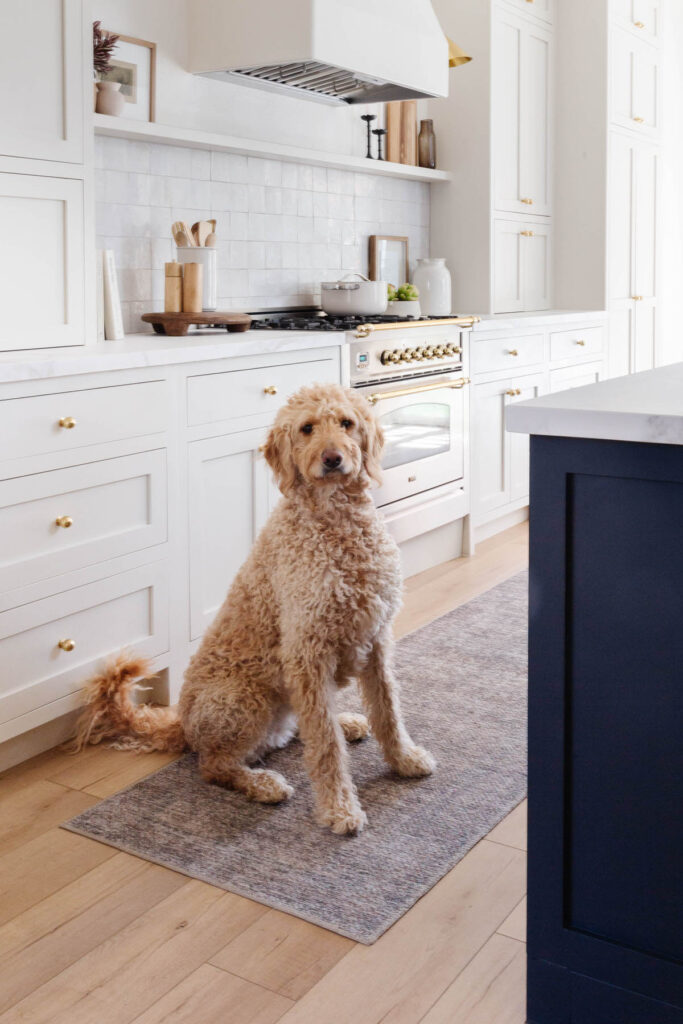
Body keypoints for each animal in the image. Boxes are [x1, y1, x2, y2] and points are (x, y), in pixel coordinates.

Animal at [74, 382, 436, 831]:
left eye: (346, 423)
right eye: (307, 428)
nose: (332, 459)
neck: (338, 524)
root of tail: (183, 724)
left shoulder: (377, 638)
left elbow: (388, 711)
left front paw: (404, 759)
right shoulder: (307, 651)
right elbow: (325, 747)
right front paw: (339, 809)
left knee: (298, 728)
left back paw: (346, 721)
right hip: (244, 699)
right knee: (215, 765)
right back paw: (263, 784)